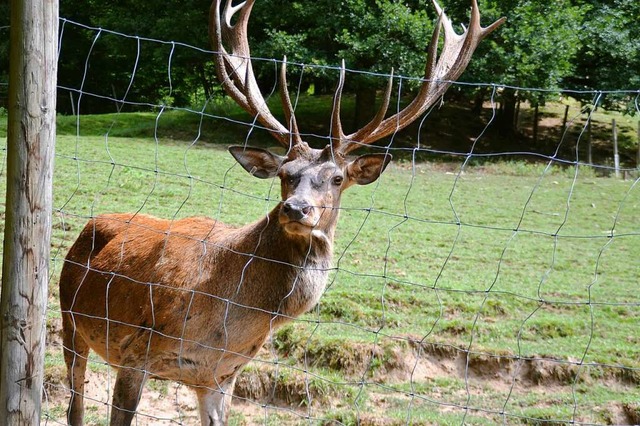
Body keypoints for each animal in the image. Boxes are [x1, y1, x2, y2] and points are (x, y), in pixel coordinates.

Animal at [57, 1, 502, 424]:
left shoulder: (220, 375)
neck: (227, 319)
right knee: (74, 405)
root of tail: (89, 225)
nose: (296, 209)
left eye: (337, 178)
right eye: (286, 176)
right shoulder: (135, 351)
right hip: (68, 317)